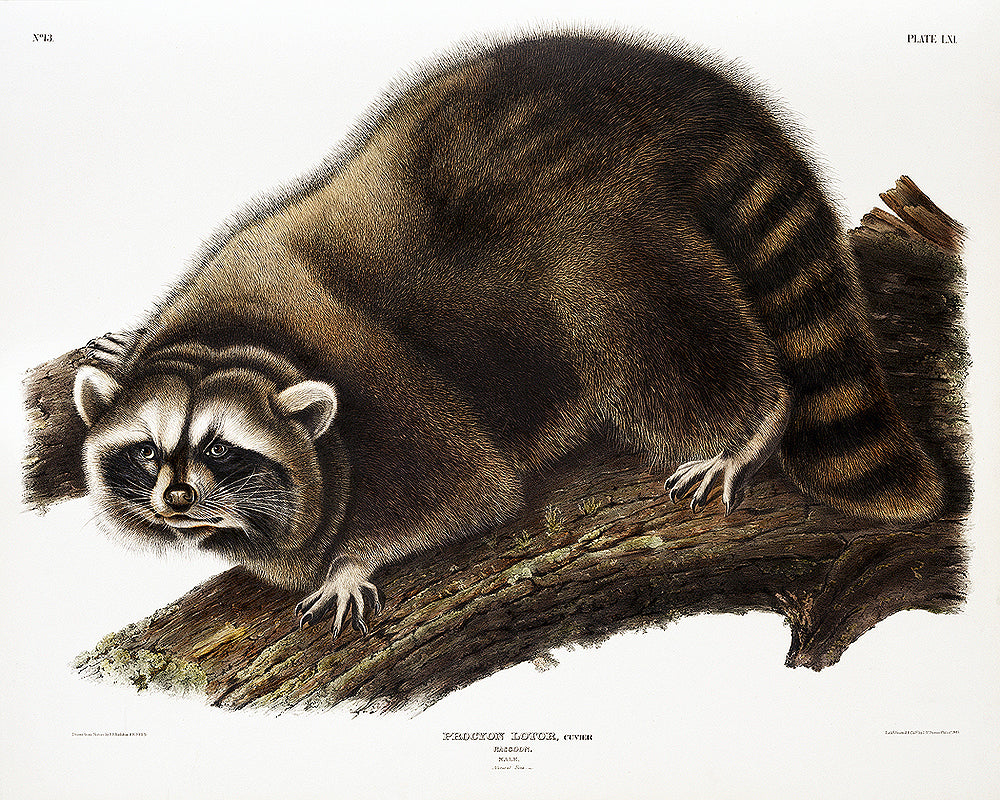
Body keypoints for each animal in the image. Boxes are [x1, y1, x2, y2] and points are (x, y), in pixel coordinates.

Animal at [73, 31, 945, 639]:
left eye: (223, 450)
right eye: (147, 451)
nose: (177, 499)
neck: (237, 341)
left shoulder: (390, 394)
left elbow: (470, 491)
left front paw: (352, 558)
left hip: (605, 231)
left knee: (638, 321)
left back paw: (750, 420)